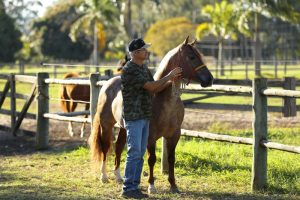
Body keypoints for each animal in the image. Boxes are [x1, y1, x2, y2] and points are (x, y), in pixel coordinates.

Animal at [88, 36, 213, 194]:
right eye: (191, 57)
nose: (210, 79)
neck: (165, 101)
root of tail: (107, 83)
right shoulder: (151, 137)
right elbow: (151, 159)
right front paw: (151, 186)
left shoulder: (174, 135)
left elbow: (171, 159)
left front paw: (173, 185)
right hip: (106, 125)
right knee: (105, 148)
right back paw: (104, 176)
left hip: (123, 128)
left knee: (118, 147)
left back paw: (119, 177)